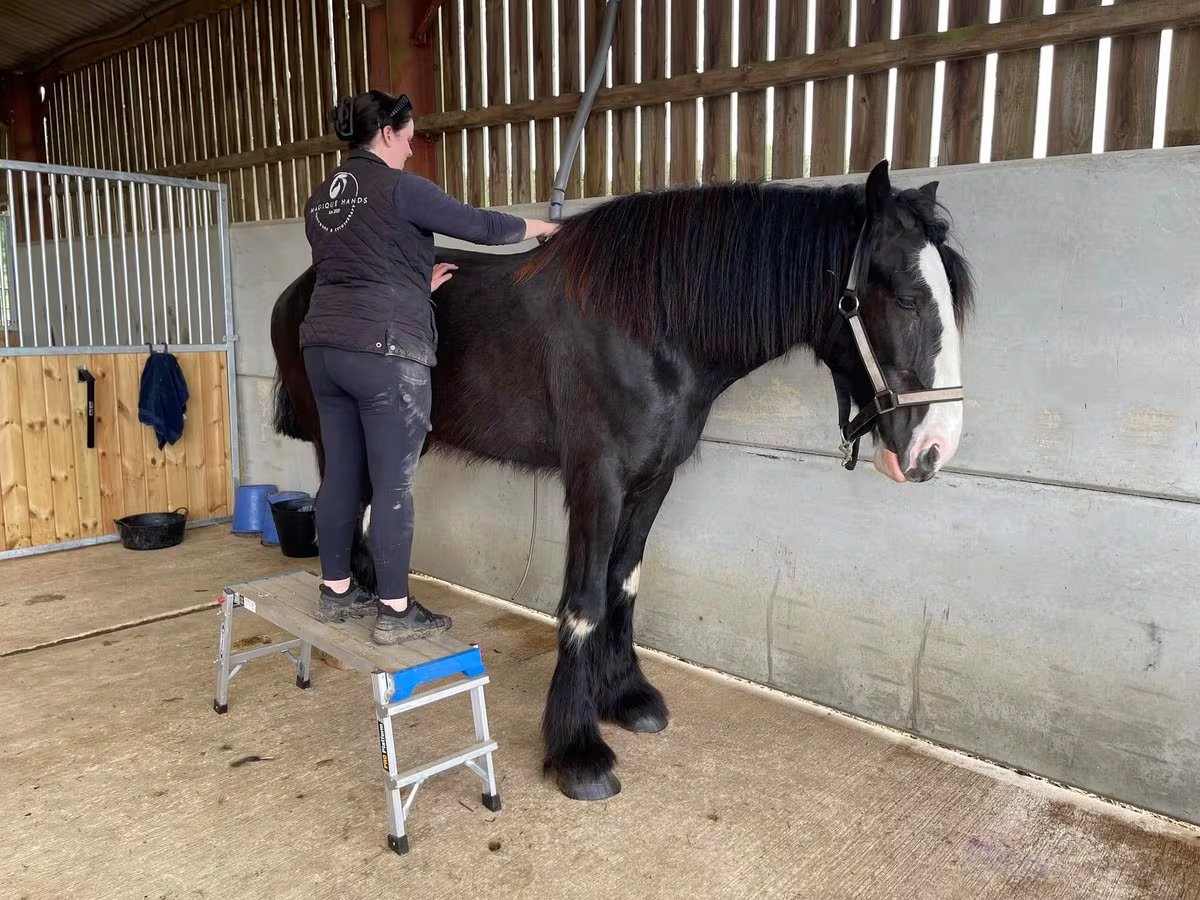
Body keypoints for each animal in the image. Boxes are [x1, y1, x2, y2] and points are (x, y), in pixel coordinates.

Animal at [269, 159, 975, 802]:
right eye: (907, 298)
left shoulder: (653, 481)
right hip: (342, 437)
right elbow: (583, 601)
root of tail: (297, 289)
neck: (651, 324)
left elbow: (624, 582)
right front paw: (577, 749)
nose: (934, 449)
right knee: (344, 512)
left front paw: (627, 696)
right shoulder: (596, 481)